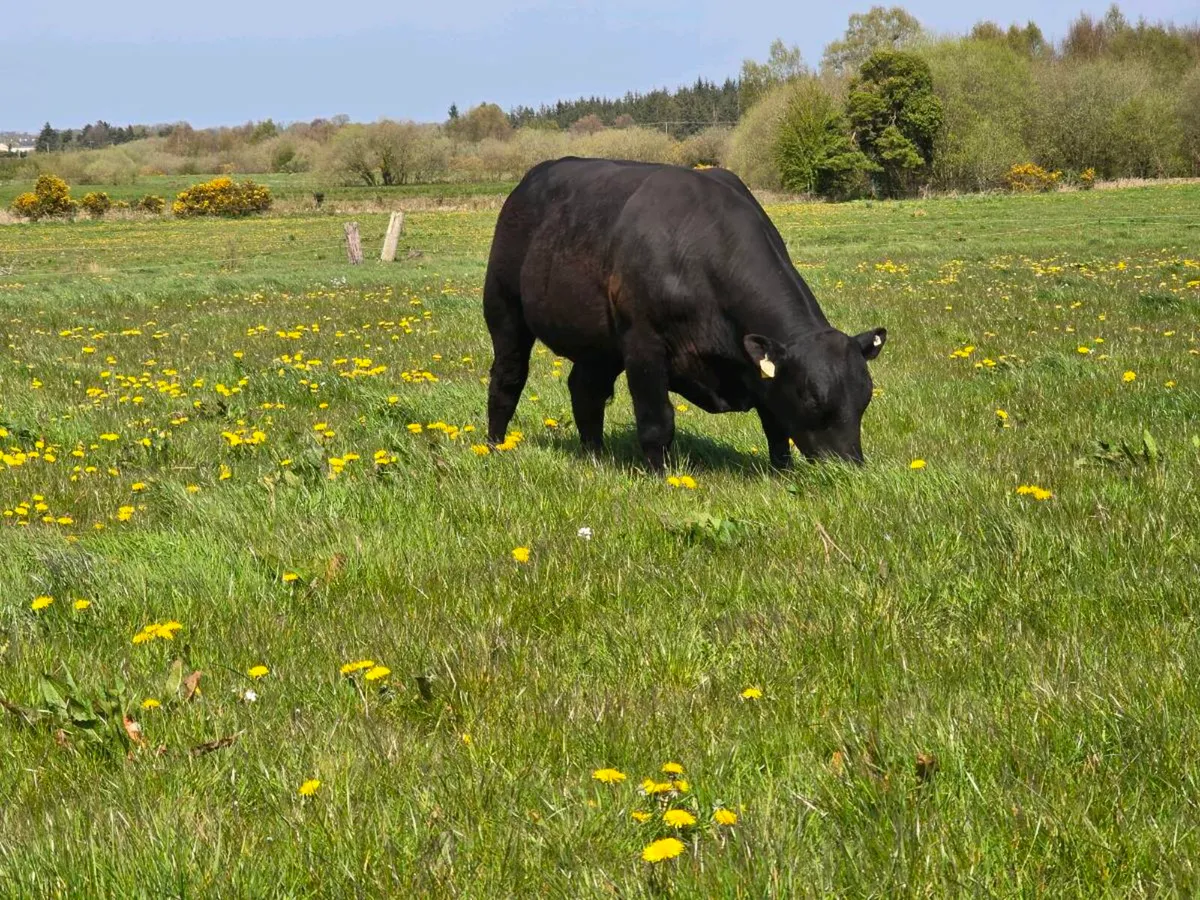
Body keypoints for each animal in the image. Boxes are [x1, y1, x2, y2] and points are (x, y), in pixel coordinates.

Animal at [482, 157, 887, 473]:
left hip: (599, 343)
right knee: (508, 378)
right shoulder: (643, 343)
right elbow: (657, 420)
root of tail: (528, 181)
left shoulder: (755, 360)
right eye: (812, 399)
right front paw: (660, 477)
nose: (848, 469)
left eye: (865, 397)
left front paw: (782, 472)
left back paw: (595, 456)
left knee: (585, 390)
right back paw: (495, 446)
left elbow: (774, 423)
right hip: (504, 308)